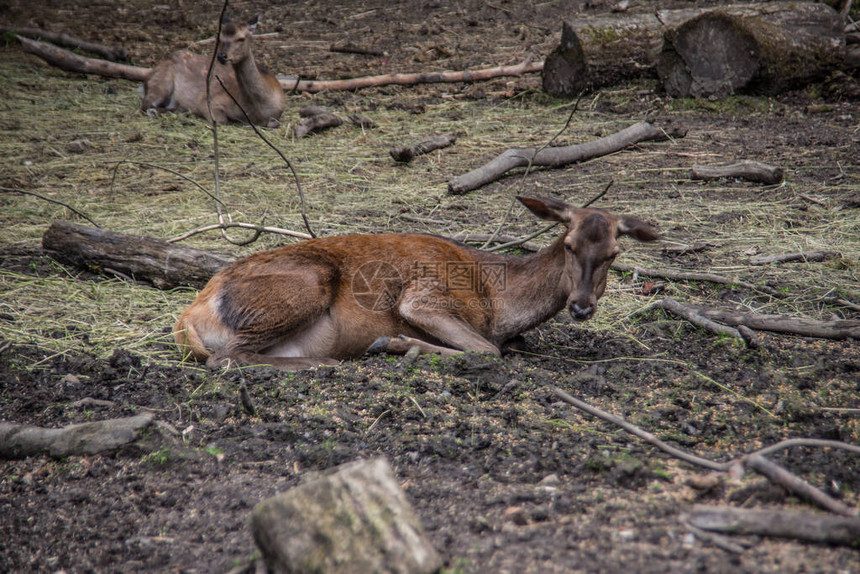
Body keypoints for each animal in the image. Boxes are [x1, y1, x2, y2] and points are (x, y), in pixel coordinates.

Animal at [142, 15, 286, 127]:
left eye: (241, 38)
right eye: (220, 38)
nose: (222, 56)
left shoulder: (277, 115)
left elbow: (273, 123)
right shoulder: (210, 101)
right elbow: (222, 120)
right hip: (161, 82)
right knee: (147, 103)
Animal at [173, 197, 660, 374]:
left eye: (614, 253)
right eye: (569, 245)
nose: (581, 306)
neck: (499, 302)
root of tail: (190, 313)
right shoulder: (424, 297)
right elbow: (489, 350)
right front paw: (396, 344)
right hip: (304, 286)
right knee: (223, 356)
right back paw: (327, 362)